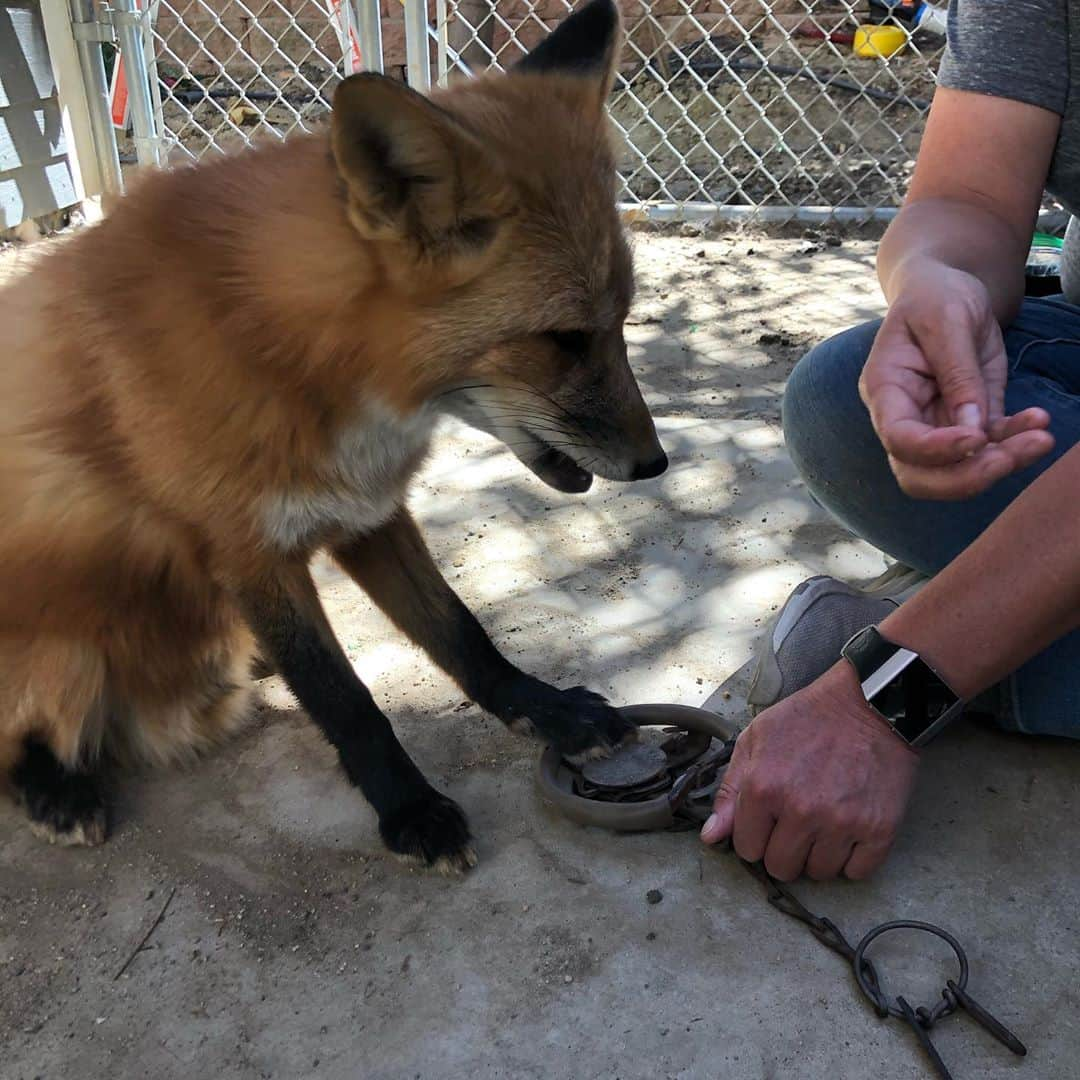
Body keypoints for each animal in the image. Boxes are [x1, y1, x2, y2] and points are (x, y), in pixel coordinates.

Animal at [0, 0, 665, 868]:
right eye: (566, 339)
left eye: (621, 322)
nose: (656, 462)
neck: (295, 357)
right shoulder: (249, 554)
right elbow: (346, 699)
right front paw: (411, 809)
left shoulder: (369, 511)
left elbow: (462, 633)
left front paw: (546, 710)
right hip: (64, 644)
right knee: (16, 740)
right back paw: (58, 793)